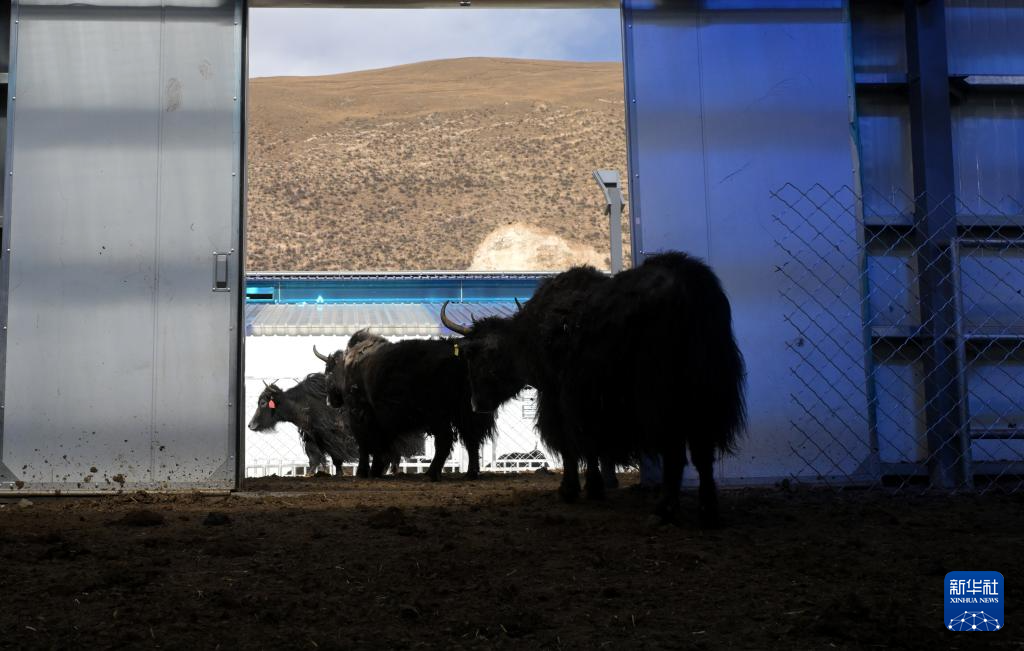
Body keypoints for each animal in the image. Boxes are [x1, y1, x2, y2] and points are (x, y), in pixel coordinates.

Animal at [314, 330, 497, 481]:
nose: (330, 401)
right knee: (471, 439)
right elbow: (382, 443)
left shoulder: (359, 414)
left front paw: (363, 472)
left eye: (327, 372)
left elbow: (365, 444)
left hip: (437, 414)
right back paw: (470, 473)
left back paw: (432, 473)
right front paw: (377, 470)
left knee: (446, 439)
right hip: (464, 412)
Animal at [440, 251, 746, 526]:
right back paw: (708, 511)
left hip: (659, 395)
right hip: (705, 393)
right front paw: (595, 487)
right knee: (703, 451)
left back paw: (663, 511)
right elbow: (590, 447)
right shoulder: (588, 406)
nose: (477, 404)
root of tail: (690, 286)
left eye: (475, 357)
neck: (528, 338)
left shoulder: (558, 398)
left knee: (675, 450)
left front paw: (571, 489)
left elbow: (570, 444)